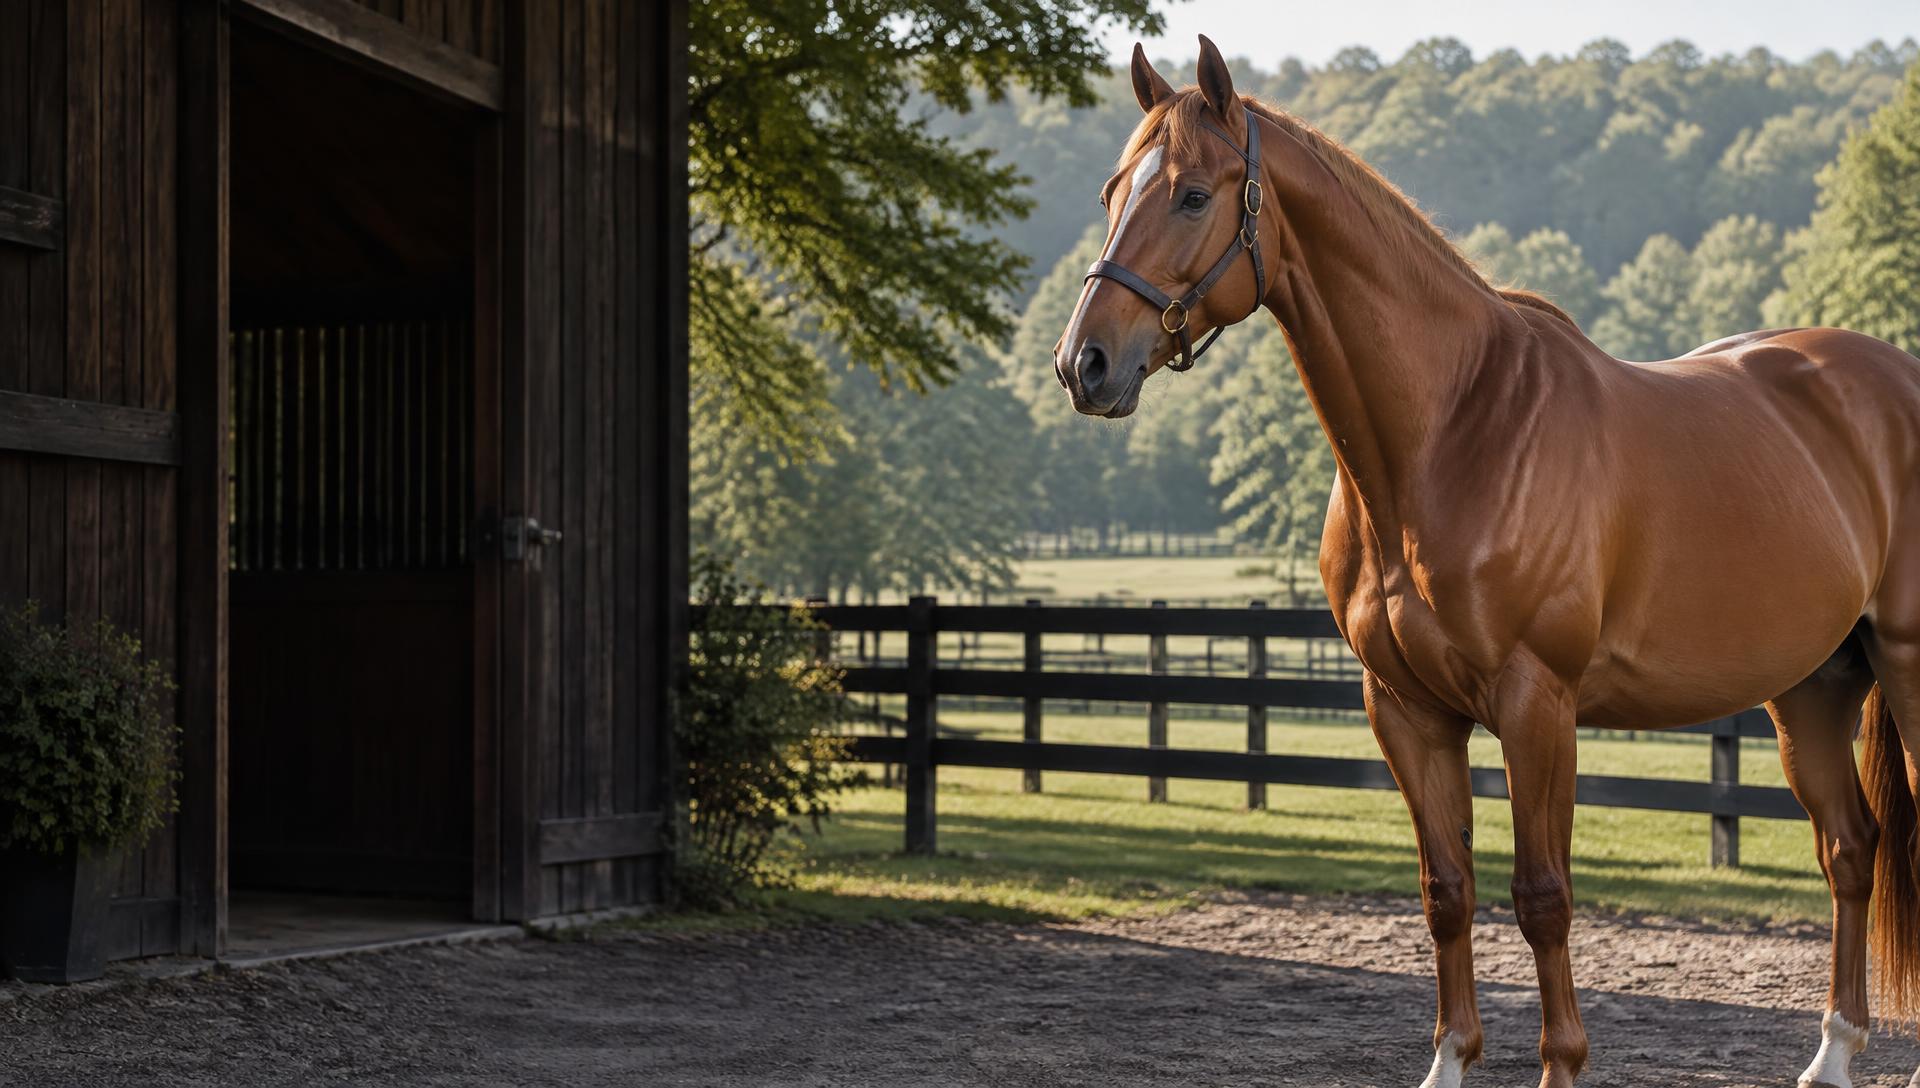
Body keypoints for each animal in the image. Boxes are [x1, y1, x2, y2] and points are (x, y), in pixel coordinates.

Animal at [1053, 35, 1920, 1088]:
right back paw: (1833, 1053)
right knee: (1850, 849)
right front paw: (1450, 1059)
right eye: (1112, 191)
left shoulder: (1536, 702)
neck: (1454, 431)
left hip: (1906, 667)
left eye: (1188, 194)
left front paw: (1561, 1065)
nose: (1084, 364)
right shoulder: (1408, 710)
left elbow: (1542, 895)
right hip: (1810, 689)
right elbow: (1447, 892)